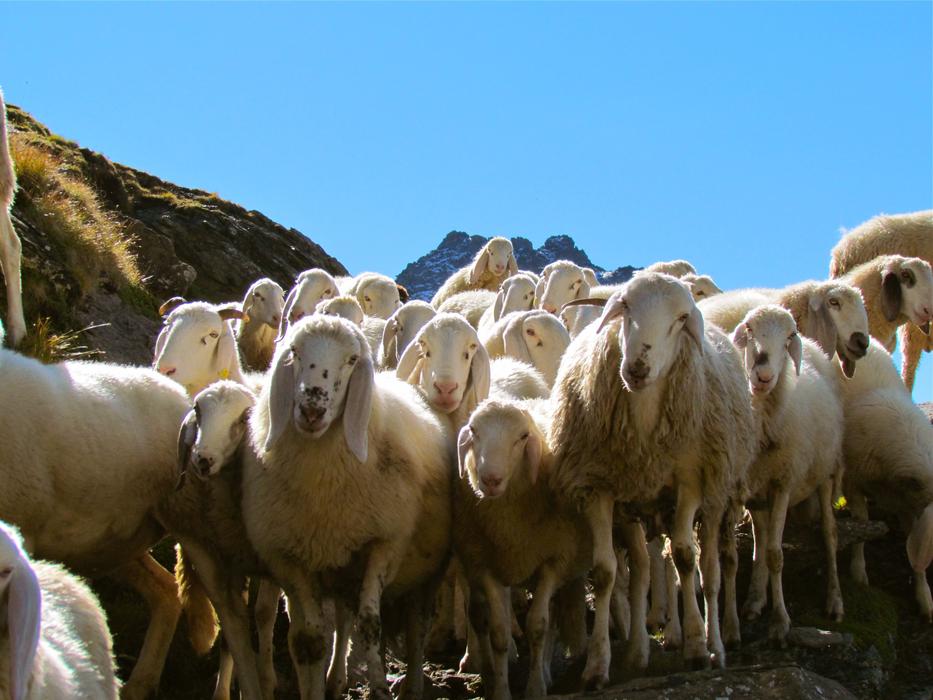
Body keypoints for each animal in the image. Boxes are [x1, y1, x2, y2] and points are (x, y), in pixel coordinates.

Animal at [165, 381, 280, 700]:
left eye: (244, 417)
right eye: (197, 409)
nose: (202, 459)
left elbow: (264, 614)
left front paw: (267, 680)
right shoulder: (217, 564)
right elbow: (233, 630)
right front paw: (236, 688)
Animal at [241, 315, 453, 700]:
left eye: (352, 360)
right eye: (294, 352)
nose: (312, 409)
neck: (321, 486)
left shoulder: (386, 544)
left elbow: (370, 625)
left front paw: (380, 688)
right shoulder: (290, 558)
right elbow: (309, 640)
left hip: (424, 574)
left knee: (416, 630)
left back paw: (413, 684)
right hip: (340, 564)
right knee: (341, 619)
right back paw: (336, 679)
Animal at [453, 398, 592, 699]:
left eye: (523, 436)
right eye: (474, 430)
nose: (490, 480)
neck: (509, 524)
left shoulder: (554, 561)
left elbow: (538, 626)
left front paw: (535, 688)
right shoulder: (486, 566)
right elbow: (499, 632)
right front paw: (501, 690)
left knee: (551, 619)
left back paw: (546, 673)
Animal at [548, 273, 756, 685]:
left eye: (681, 319)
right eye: (625, 306)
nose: (638, 367)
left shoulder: (690, 480)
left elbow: (685, 558)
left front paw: (696, 648)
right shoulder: (600, 488)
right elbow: (607, 572)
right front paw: (599, 665)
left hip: (717, 494)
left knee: (711, 570)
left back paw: (717, 642)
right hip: (642, 505)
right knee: (650, 566)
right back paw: (643, 648)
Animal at [731, 305, 845, 644]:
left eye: (789, 337)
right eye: (749, 329)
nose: (764, 376)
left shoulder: (783, 481)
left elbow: (775, 554)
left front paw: (780, 623)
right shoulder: (748, 486)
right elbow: (756, 550)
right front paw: (755, 604)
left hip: (826, 472)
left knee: (830, 534)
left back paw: (835, 601)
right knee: (761, 536)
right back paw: (755, 599)